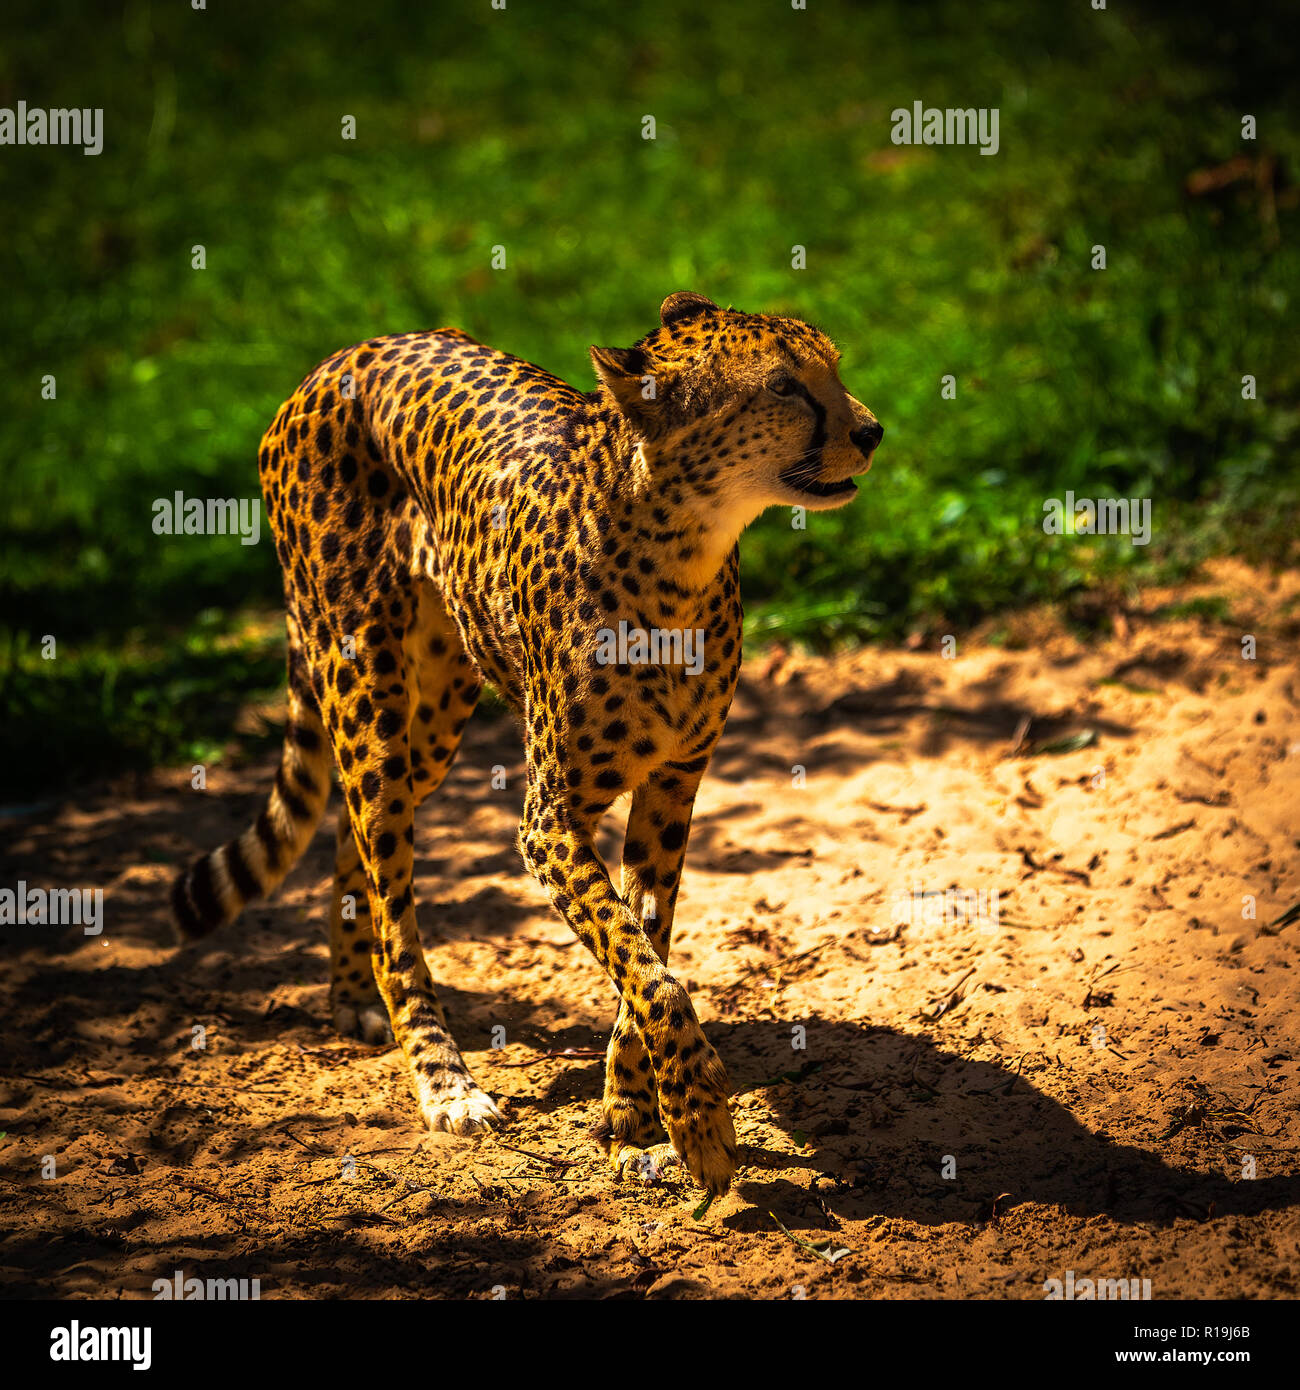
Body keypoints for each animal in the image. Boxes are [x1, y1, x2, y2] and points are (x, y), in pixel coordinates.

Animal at [170, 293, 884, 1195]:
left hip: (436, 713)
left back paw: (350, 995)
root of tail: (346, 353)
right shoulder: (551, 820)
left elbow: (645, 948)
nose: (872, 431)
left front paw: (632, 1118)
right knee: (392, 894)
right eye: (785, 386)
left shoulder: (673, 786)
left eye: (831, 366)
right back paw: (442, 1081)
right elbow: (645, 966)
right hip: (363, 686)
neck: (682, 553)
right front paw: (698, 1119)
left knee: (354, 837)